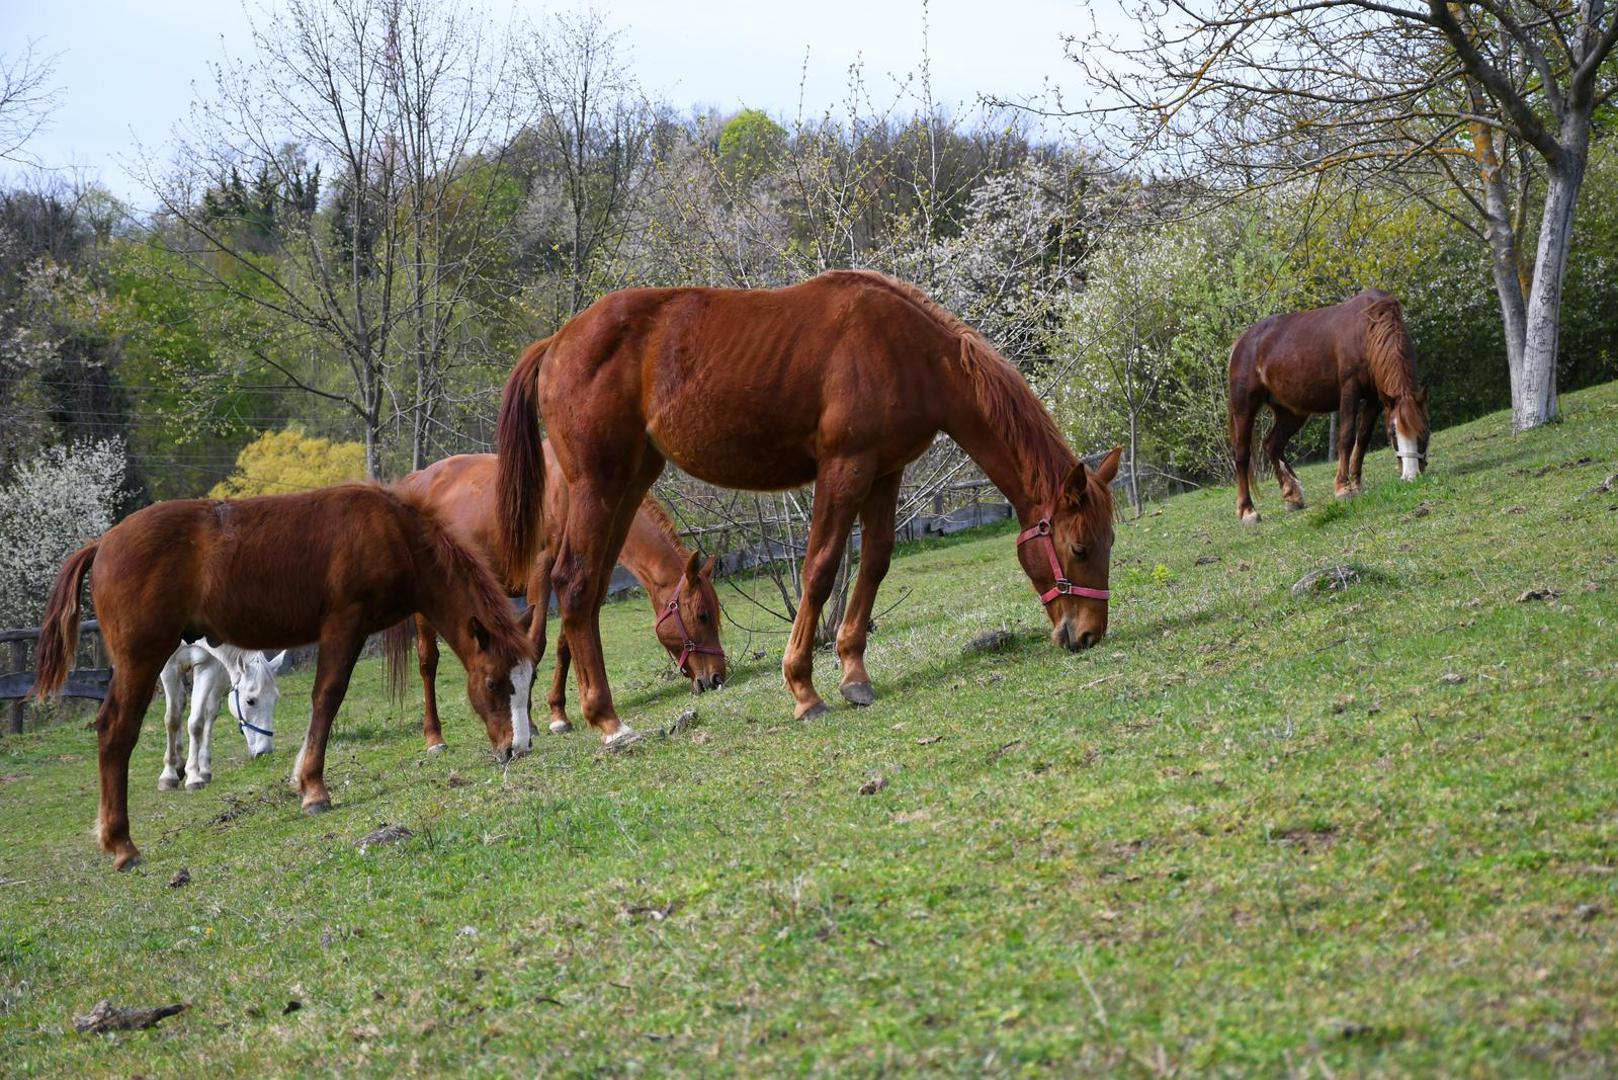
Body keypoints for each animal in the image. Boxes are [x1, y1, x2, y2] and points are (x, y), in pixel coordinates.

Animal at [157, 641, 288, 793]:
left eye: (275, 699)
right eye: (250, 701)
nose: (265, 752)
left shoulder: (207, 666)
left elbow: (196, 723)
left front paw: (194, 777)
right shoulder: (169, 664)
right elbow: (172, 719)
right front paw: (168, 775)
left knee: (209, 712)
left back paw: (203, 769)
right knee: (180, 704)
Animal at [394, 446, 724, 744]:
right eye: (702, 616)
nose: (717, 677)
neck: (570, 491)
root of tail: (415, 480)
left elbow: (566, 643)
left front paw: (558, 715)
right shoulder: (541, 569)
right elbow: (535, 643)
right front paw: (530, 722)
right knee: (428, 663)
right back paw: (434, 737)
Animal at [498, 268, 1119, 744]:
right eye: (1078, 547)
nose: (1089, 634)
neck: (906, 349)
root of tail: (557, 343)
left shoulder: (884, 472)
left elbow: (875, 563)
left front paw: (853, 673)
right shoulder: (844, 468)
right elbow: (820, 568)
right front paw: (803, 687)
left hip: (629, 483)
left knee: (589, 594)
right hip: (596, 485)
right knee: (575, 584)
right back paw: (606, 721)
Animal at [1223, 286, 1430, 524]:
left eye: (1424, 432)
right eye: (1393, 435)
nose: (1412, 475)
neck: (1366, 330)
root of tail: (1241, 342)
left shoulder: (1376, 398)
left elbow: (1363, 437)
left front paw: (1356, 483)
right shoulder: (1350, 389)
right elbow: (1347, 436)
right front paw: (1343, 488)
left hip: (1292, 412)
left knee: (1272, 445)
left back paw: (1292, 495)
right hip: (1244, 408)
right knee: (1242, 454)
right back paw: (1248, 511)